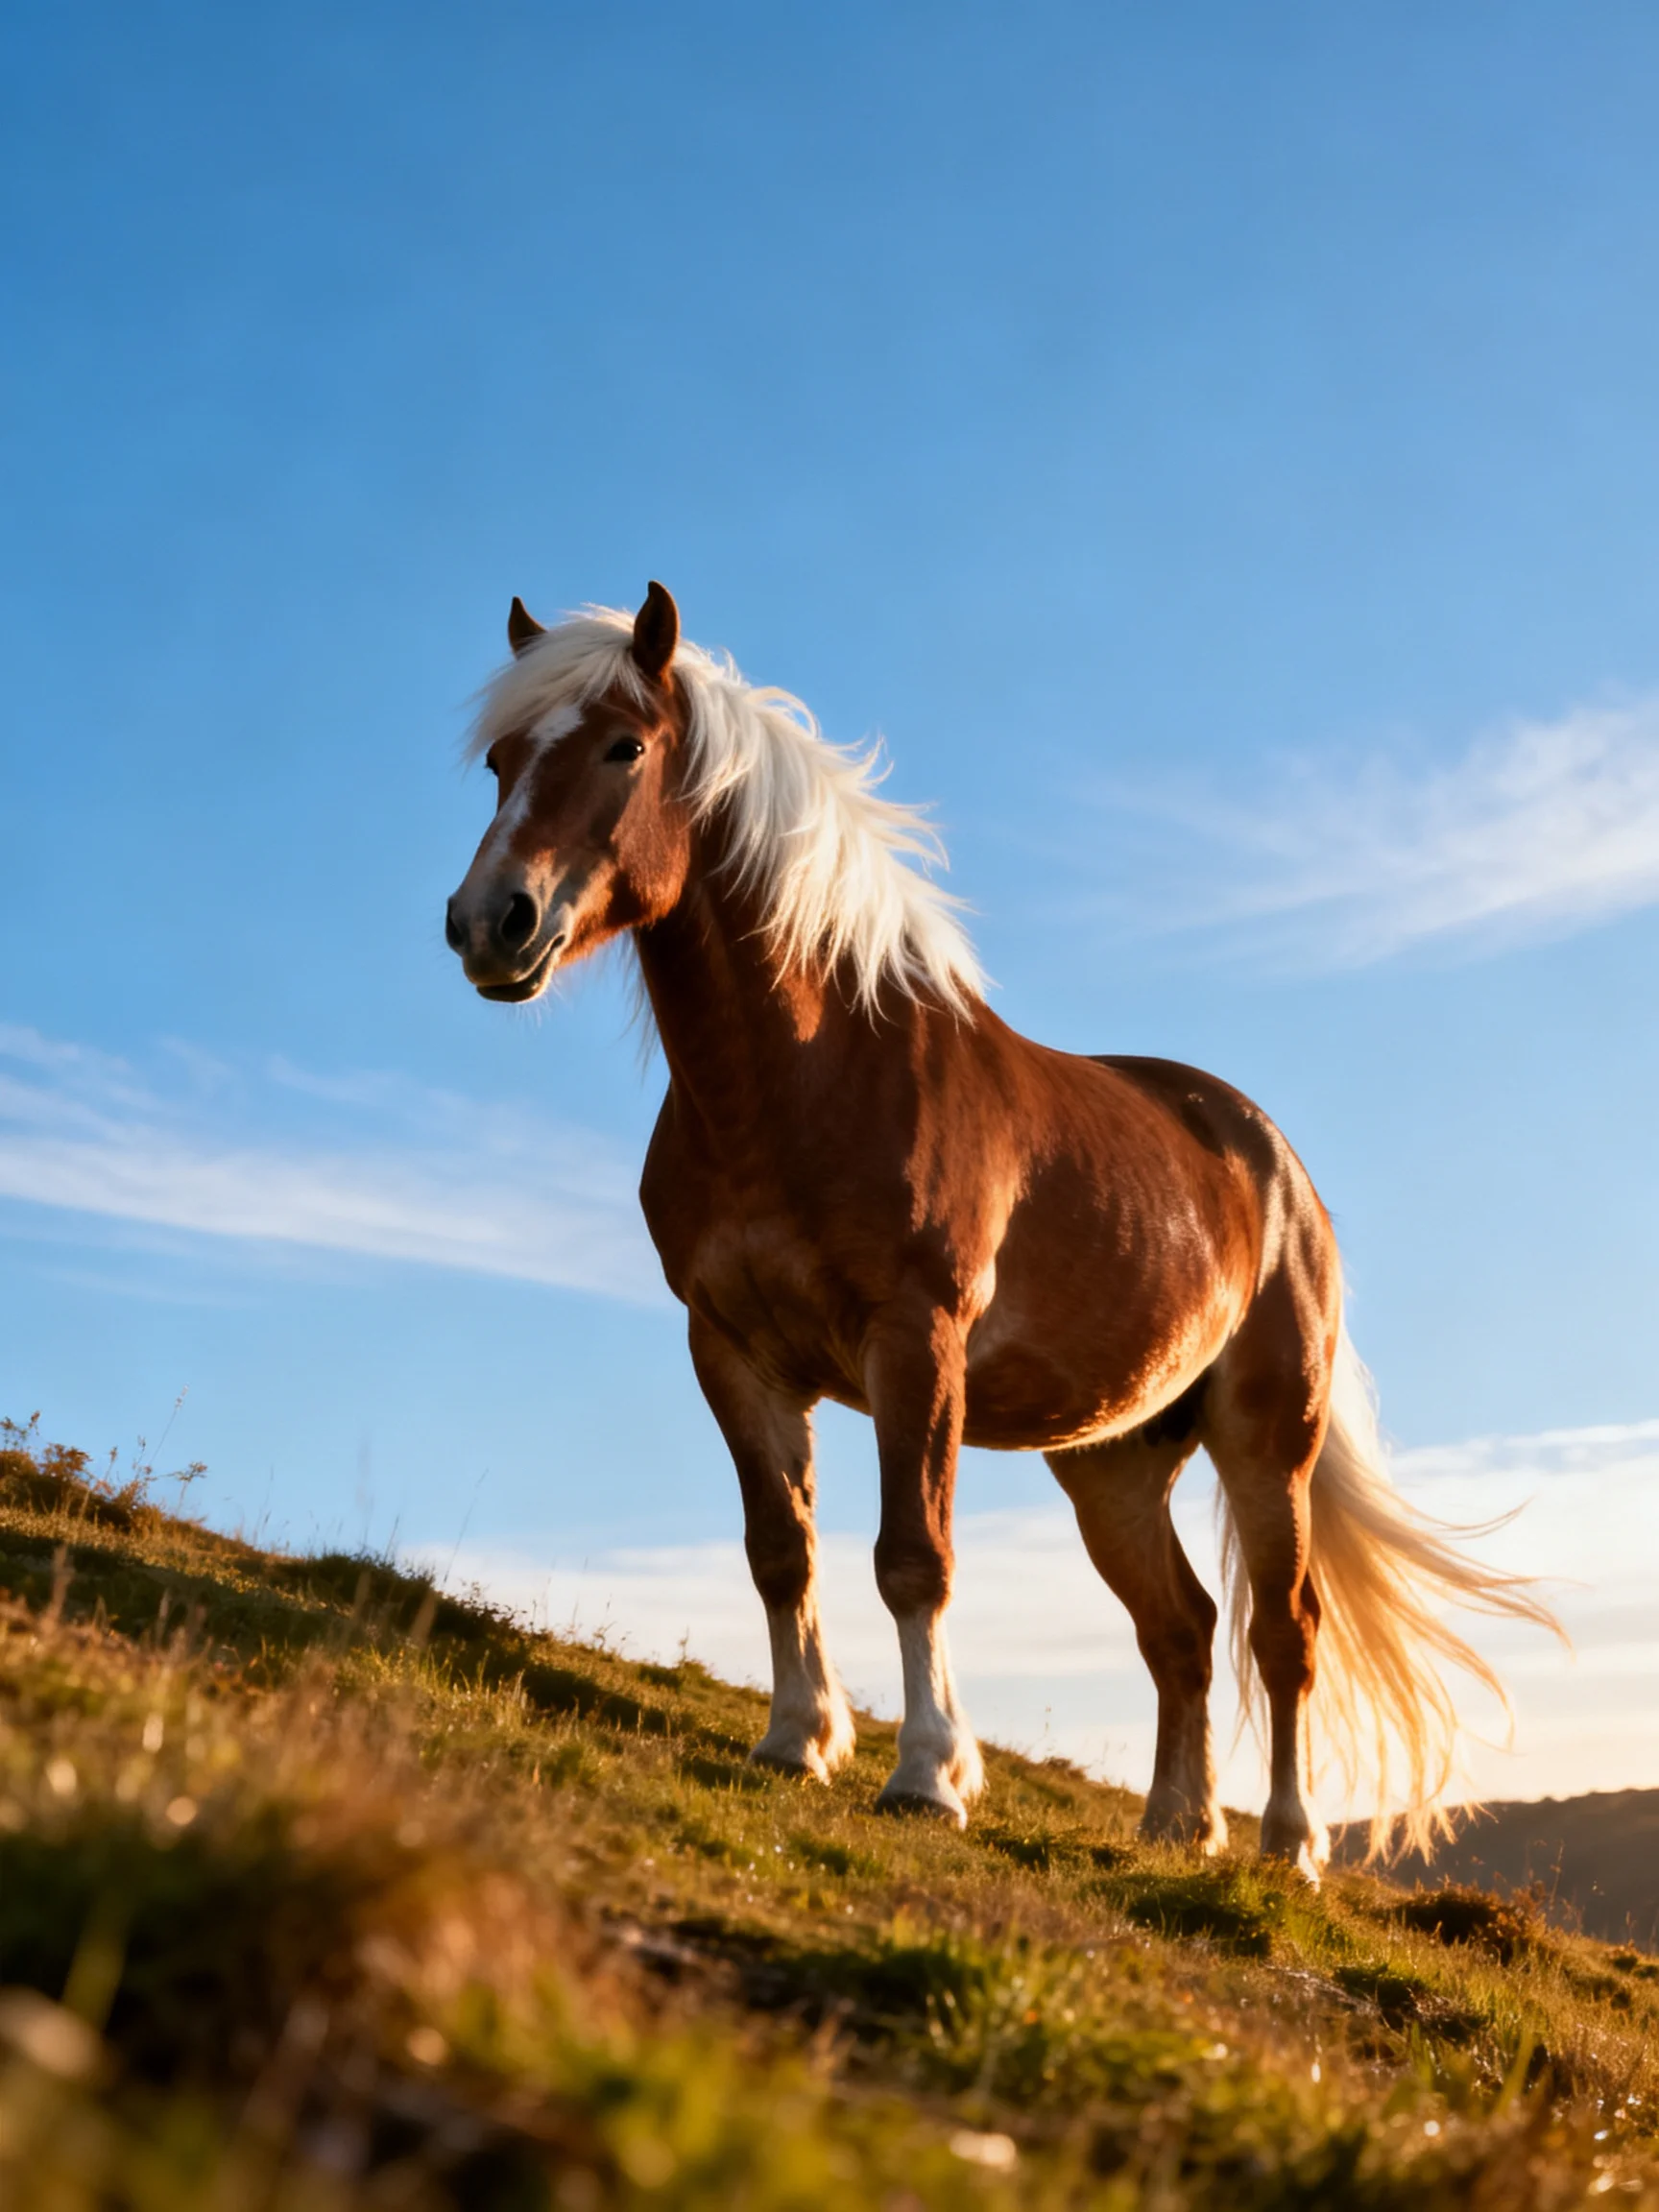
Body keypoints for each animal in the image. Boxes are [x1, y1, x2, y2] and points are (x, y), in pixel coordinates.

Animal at [444, 582, 1560, 1875]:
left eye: (624, 746)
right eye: (499, 761)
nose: (490, 923)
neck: (806, 1077)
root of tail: (1278, 1167)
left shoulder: (915, 1345)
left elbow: (912, 1560)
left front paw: (929, 1774)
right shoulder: (731, 1351)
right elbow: (782, 1550)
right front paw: (797, 1742)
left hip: (1263, 1443)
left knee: (1284, 1633)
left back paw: (1288, 1842)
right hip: (1112, 1460)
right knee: (1183, 1627)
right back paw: (1179, 1823)